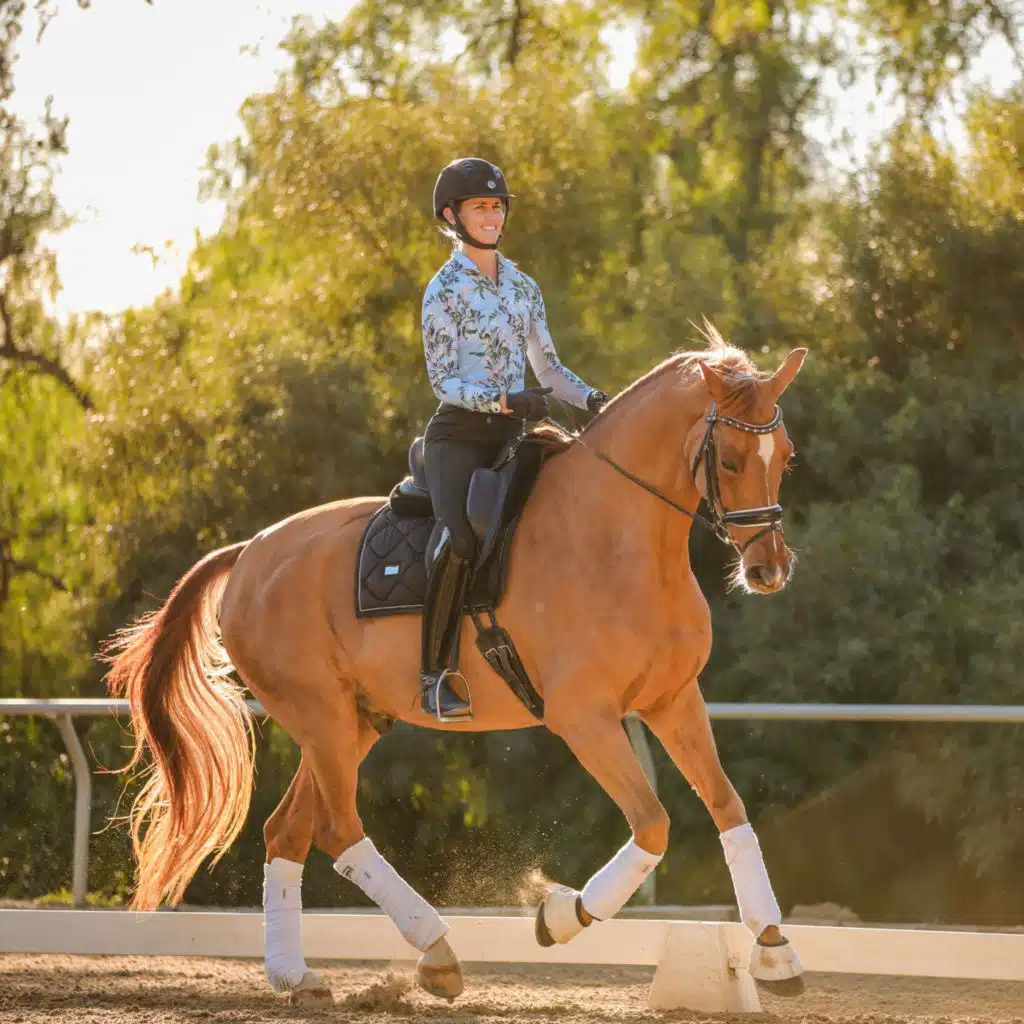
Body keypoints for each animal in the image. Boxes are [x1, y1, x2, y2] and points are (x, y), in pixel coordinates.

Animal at [105, 329, 807, 1006]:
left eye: (786, 456)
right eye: (731, 460)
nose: (769, 570)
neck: (620, 542)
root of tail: (250, 552)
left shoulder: (673, 700)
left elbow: (729, 808)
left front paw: (775, 951)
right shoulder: (584, 719)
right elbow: (654, 825)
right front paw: (558, 915)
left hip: (352, 723)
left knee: (287, 833)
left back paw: (296, 976)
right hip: (320, 718)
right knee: (339, 829)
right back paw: (436, 952)